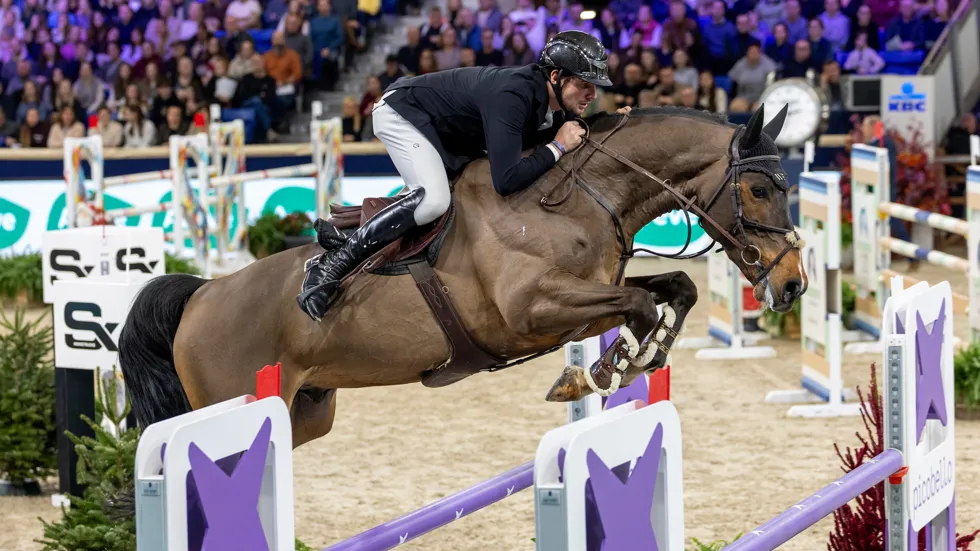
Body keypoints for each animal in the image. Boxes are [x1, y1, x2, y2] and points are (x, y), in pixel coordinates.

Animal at [118, 104, 807, 449]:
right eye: (757, 188)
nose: (794, 284)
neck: (580, 196)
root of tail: (202, 294)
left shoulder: (587, 292)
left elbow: (672, 290)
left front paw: (627, 361)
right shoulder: (531, 311)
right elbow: (635, 306)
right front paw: (607, 370)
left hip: (306, 412)